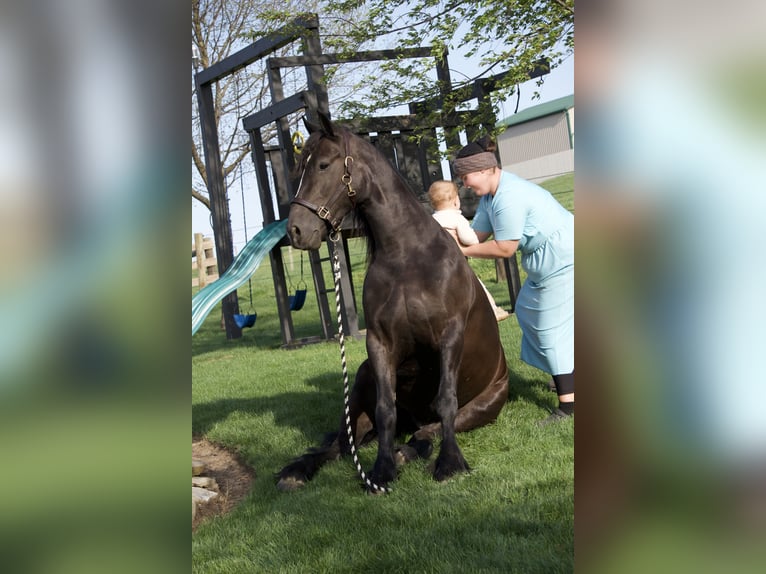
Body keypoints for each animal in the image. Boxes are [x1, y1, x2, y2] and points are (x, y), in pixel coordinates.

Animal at [277, 113, 509, 492]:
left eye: (323, 165)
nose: (296, 230)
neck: (408, 258)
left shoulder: (450, 337)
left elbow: (446, 400)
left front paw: (450, 463)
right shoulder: (379, 344)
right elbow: (386, 409)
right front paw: (382, 470)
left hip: (484, 407)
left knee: (429, 429)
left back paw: (413, 450)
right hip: (361, 379)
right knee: (342, 444)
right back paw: (298, 470)